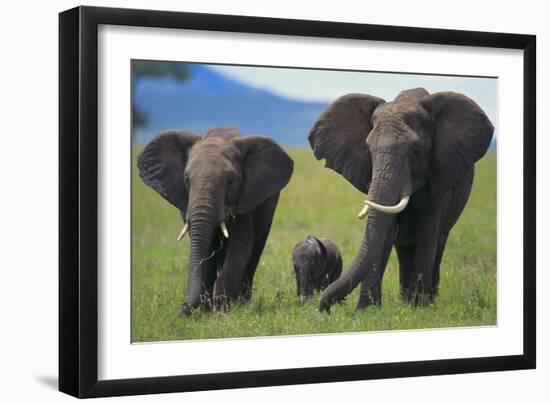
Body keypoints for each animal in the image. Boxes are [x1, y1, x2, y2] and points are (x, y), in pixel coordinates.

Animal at [137, 126, 294, 316]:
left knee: (254, 252)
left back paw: (243, 303)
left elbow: (240, 247)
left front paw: (223, 309)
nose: (183, 308)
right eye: (186, 179)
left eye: (231, 180)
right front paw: (206, 310)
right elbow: (203, 251)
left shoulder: (245, 198)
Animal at [310, 87, 496, 310]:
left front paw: (418, 308)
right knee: (403, 248)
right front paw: (367, 310)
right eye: (368, 150)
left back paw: (425, 300)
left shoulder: (440, 178)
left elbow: (429, 231)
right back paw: (405, 299)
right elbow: (385, 231)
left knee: (439, 242)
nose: (325, 306)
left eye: (416, 151)